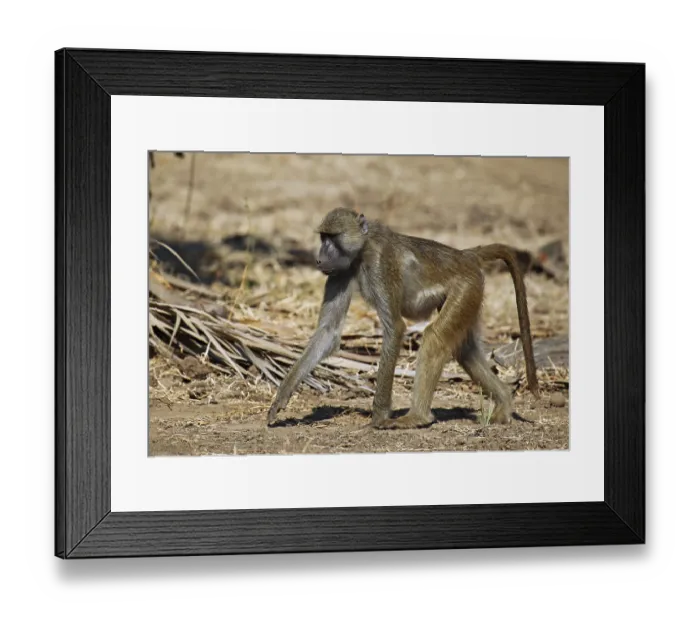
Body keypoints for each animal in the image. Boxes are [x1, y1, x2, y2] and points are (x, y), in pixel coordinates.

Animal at [266, 208, 539, 429]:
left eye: (332, 238)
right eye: (323, 238)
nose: (319, 258)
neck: (363, 249)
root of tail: (464, 255)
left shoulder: (380, 265)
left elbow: (395, 328)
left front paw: (378, 418)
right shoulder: (338, 273)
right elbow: (328, 333)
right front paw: (281, 397)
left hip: (466, 286)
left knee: (434, 339)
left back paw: (417, 417)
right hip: (471, 292)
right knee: (465, 350)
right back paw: (504, 403)